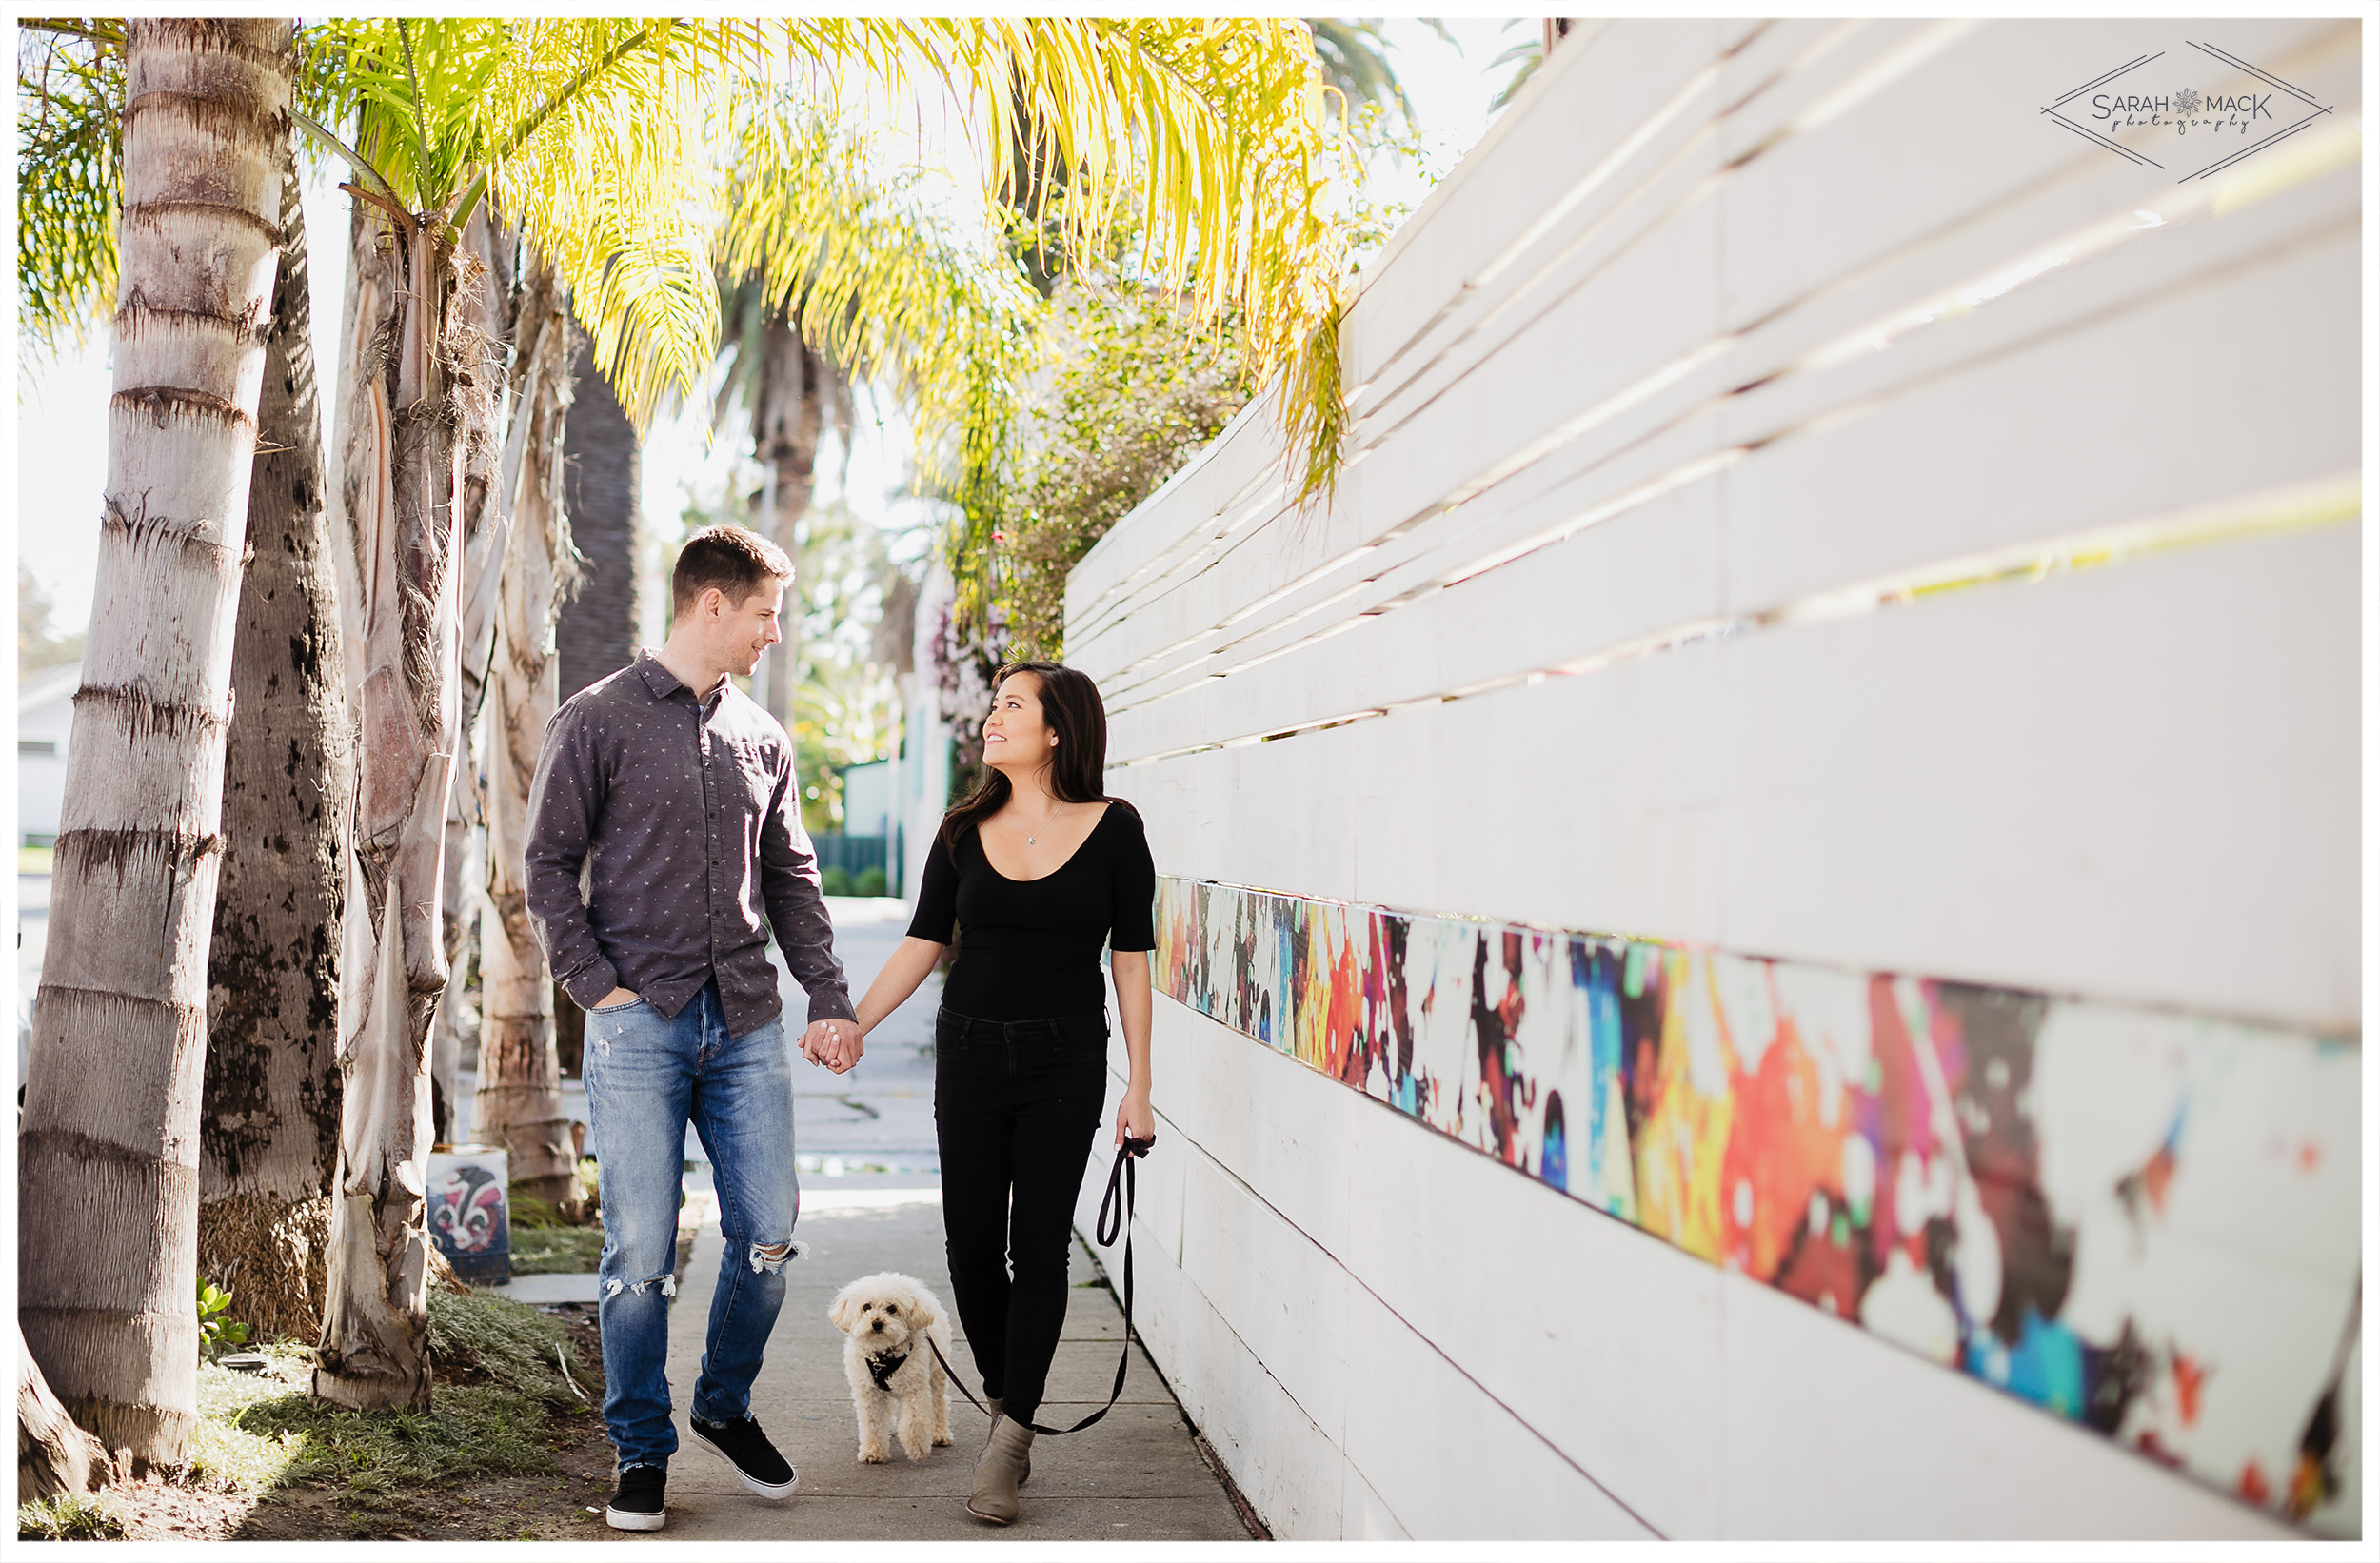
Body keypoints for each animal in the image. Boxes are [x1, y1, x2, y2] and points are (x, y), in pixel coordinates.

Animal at [833, 1275, 952, 1455]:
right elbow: (872, 1424)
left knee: (939, 1404)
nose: (876, 1323)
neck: (882, 1357)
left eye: (892, 1308)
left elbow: (914, 1422)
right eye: (866, 1307)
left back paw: (940, 1434)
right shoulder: (869, 1393)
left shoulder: (914, 1389)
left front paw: (917, 1448)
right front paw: (873, 1451)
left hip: (937, 1372)